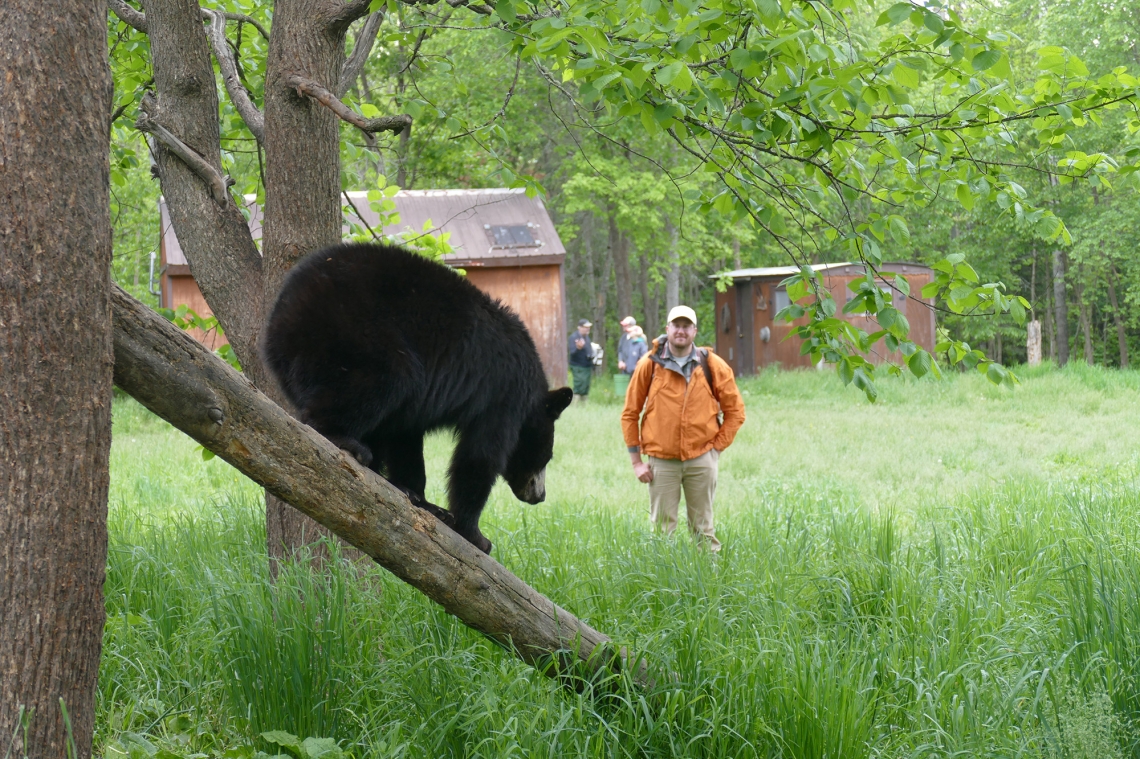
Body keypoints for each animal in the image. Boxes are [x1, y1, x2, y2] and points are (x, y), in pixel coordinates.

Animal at [262, 240, 574, 549]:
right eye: (547, 456)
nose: (540, 495)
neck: (531, 391)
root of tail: (279, 321)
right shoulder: (504, 395)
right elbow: (480, 455)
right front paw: (474, 534)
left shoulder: (418, 409)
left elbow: (405, 440)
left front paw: (421, 498)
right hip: (355, 333)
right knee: (384, 379)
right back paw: (345, 440)